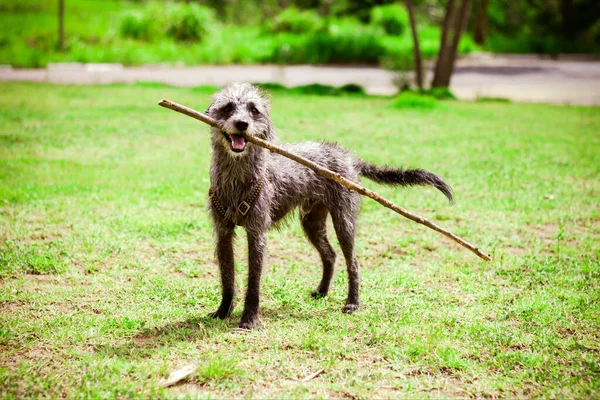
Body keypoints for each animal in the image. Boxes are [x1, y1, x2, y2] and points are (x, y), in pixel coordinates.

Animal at [204, 83, 452, 330]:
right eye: (228, 107)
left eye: (254, 110)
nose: (242, 124)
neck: (237, 178)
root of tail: (348, 157)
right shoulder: (224, 233)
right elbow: (227, 278)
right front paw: (223, 311)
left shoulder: (256, 234)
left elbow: (253, 280)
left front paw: (249, 319)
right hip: (312, 222)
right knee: (330, 255)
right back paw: (323, 291)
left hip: (344, 222)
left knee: (353, 262)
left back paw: (352, 303)